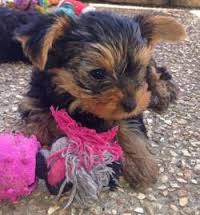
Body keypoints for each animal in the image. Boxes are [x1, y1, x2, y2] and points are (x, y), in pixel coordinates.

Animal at [0, 7, 186, 188]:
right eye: (97, 73)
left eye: (139, 68)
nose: (131, 105)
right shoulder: (36, 99)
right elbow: (40, 118)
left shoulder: (133, 106)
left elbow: (130, 128)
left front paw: (139, 162)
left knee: (158, 71)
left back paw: (162, 92)